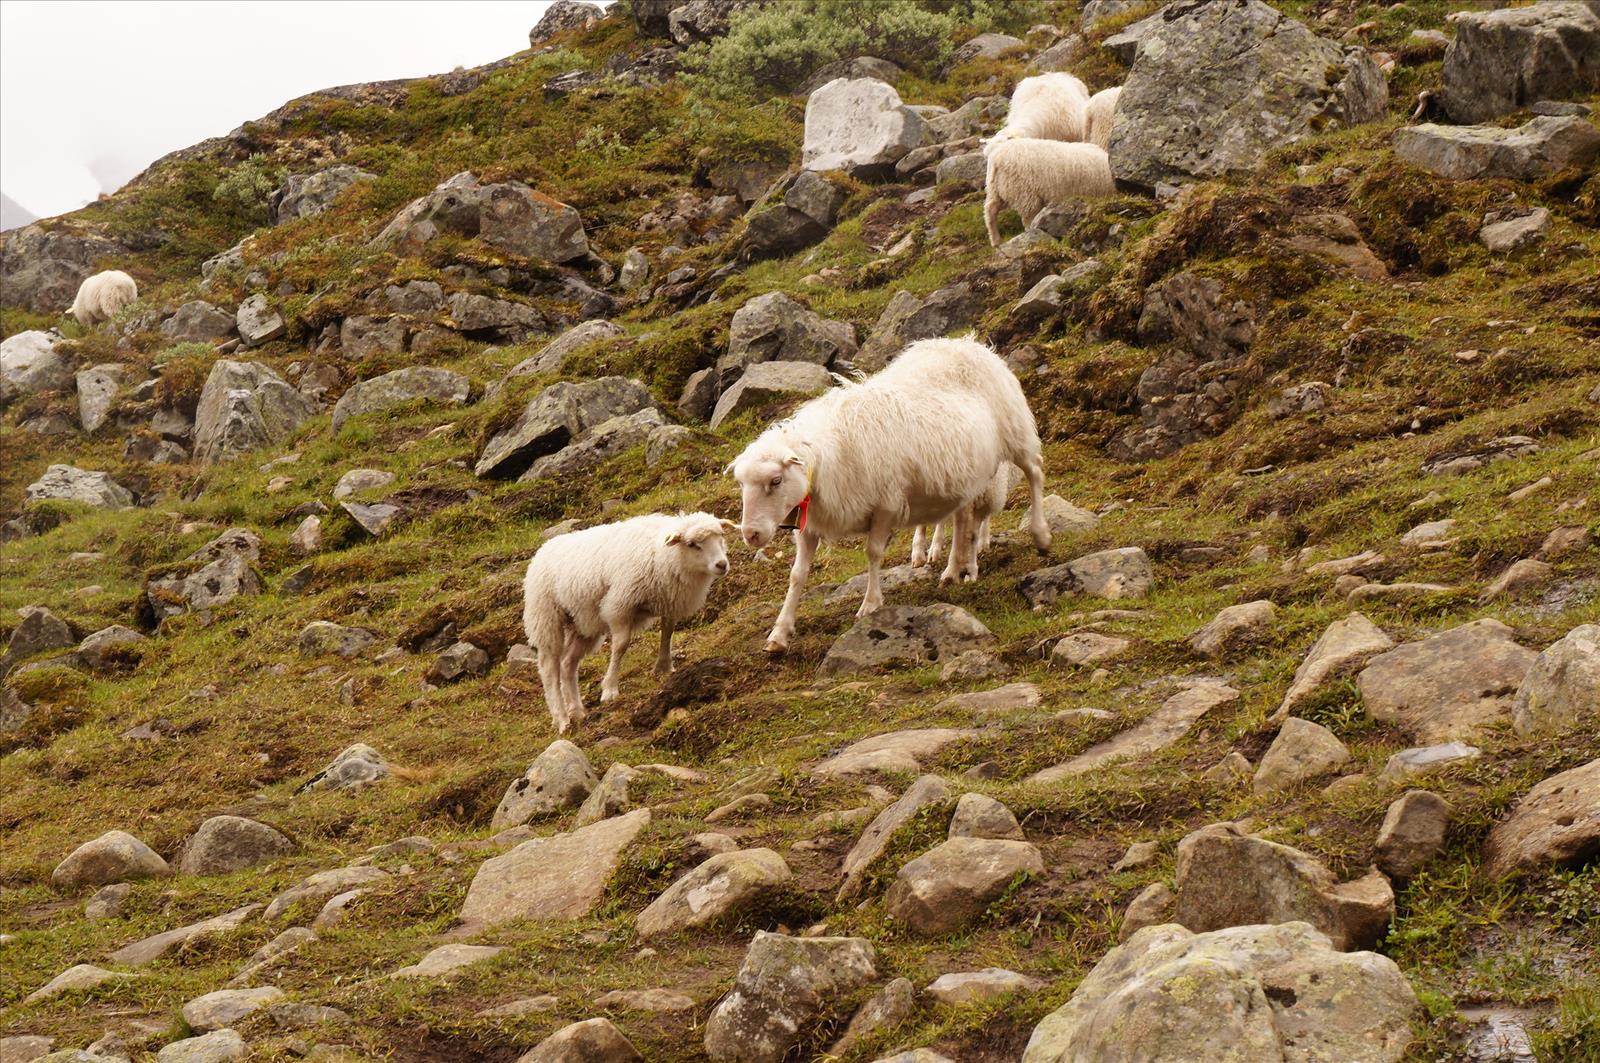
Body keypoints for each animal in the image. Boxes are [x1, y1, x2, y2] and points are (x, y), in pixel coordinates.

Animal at [518, 512, 732, 730]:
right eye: (692, 544)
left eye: (721, 536)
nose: (722, 564)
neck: (662, 553)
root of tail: (541, 551)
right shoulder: (620, 604)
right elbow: (621, 645)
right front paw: (610, 689)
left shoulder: (669, 600)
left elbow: (668, 632)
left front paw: (663, 667)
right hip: (546, 617)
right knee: (549, 669)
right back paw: (562, 719)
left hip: (583, 622)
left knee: (568, 663)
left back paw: (576, 711)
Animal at [726, 336, 1049, 653]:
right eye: (742, 484)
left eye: (776, 480)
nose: (751, 534)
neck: (826, 457)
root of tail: (969, 344)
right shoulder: (810, 525)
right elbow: (797, 574)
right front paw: (779, 632)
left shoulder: (886, 505)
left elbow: (873, 553)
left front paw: (871, 604)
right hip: (964, 476)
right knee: (963, 521)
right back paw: (953, 571)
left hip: (1016, 432)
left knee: (1035, 471)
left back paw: (1041, 536)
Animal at [972, 137, 1113, 248]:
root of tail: (996, 158)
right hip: (1024, 193)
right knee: (1027, 220)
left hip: (998, 190)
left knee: (990, 211)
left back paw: (996, 240)